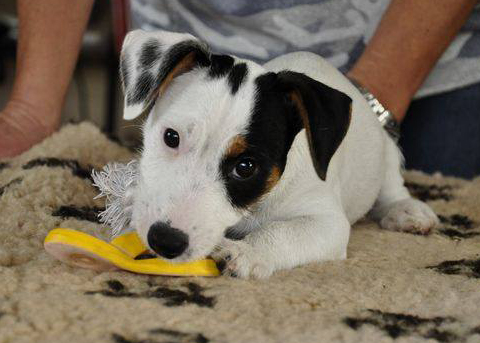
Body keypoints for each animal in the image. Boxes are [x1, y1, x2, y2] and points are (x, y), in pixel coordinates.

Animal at [119, 30, 438, 280]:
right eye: (171, 137)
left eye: (246, 167)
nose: (164, 241)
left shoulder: (328, 223)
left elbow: (282, 232)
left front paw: (247, 251)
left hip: (386, 158)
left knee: (391, 187)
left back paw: (405, 210)